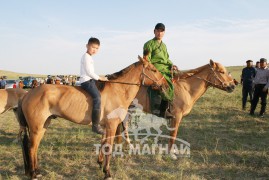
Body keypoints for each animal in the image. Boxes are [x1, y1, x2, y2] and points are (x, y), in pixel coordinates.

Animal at [16, 56, 166, 180]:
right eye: (153, 69)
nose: (164, 83)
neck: (118, 90)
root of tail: (28, 94)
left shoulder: (105, 127)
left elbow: (103, 144)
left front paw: (100, 164)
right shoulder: (111, 126)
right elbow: (109, 148)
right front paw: (107, 173)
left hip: (43, 126)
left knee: (35, 147)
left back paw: (37, 171)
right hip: (36, 128)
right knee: (31, 147)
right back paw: (33, 174)